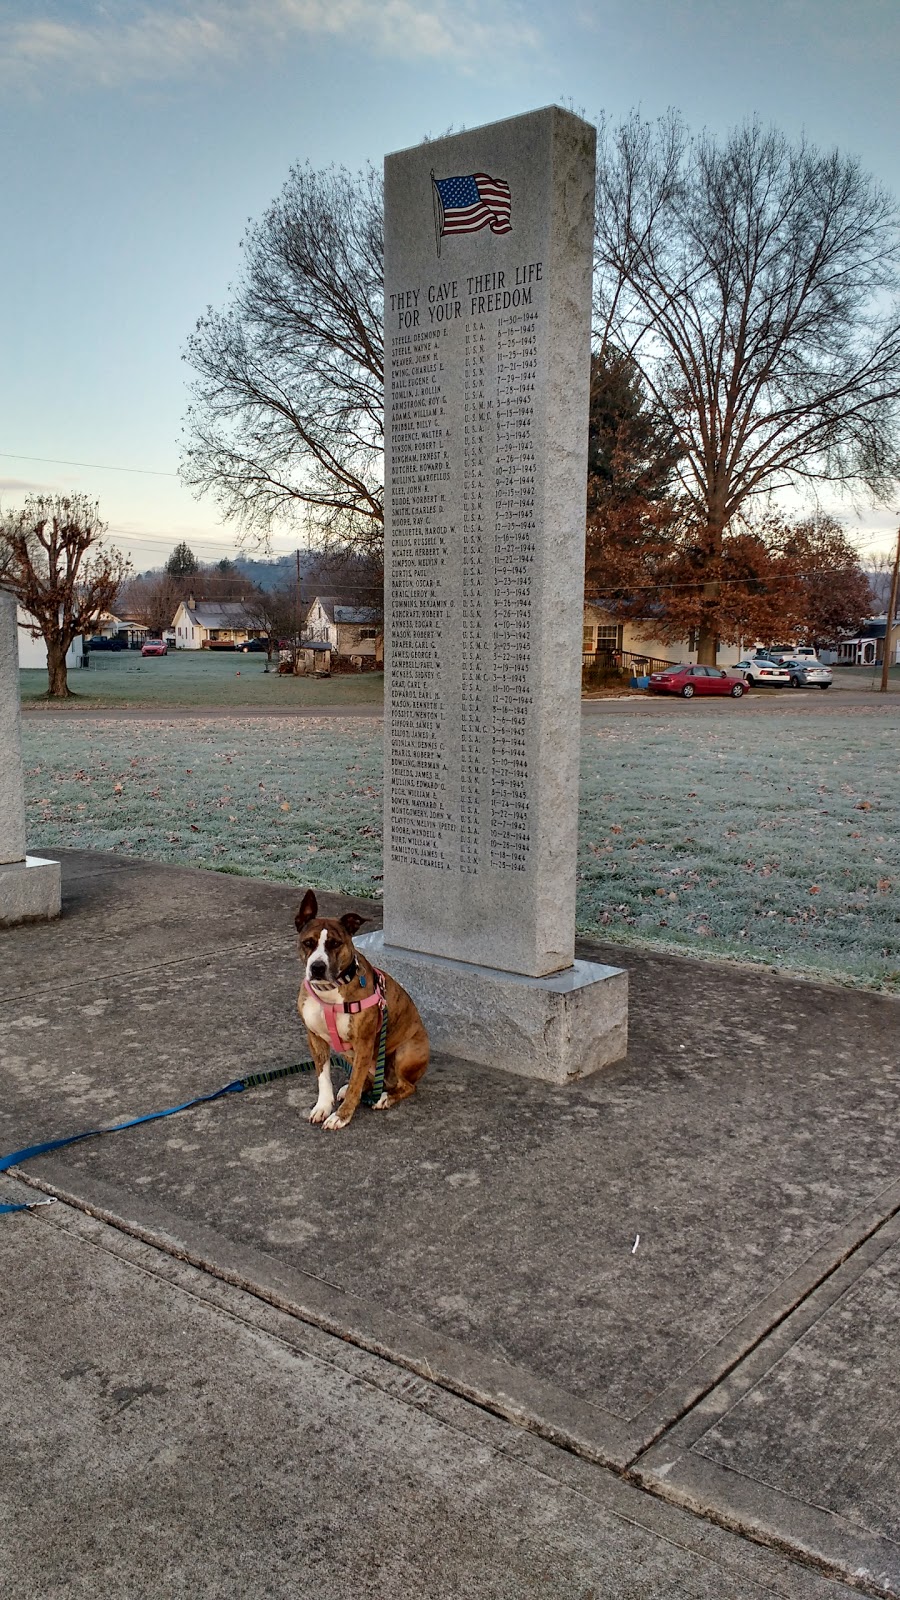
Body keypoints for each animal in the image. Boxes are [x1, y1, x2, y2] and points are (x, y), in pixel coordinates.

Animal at [296, 889, 429, 1139]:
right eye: (308, 943)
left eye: (335, 944)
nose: (317, 967)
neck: (329, 994)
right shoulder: (315, 1039)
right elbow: (323, 1078)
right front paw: (323, 1106)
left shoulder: (363, 1043)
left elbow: (356, 1084)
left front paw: (341, 1116)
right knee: (366, 1079)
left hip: (404, 1053)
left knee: (406, 1086)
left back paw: (385, 1098)